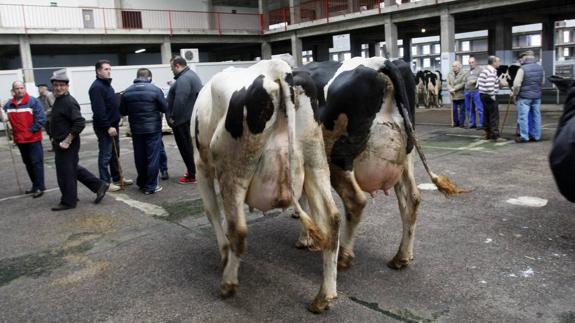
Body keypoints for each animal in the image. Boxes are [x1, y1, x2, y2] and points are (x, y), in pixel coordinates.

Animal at [191, 58, 342, 314]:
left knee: (239, 230)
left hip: (233, 169)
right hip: (315, 160)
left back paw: (228, 284)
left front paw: (223, 254)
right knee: (332, 220)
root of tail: (277, 68)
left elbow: (211, 211)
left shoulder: (201, 164)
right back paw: (323, 297)